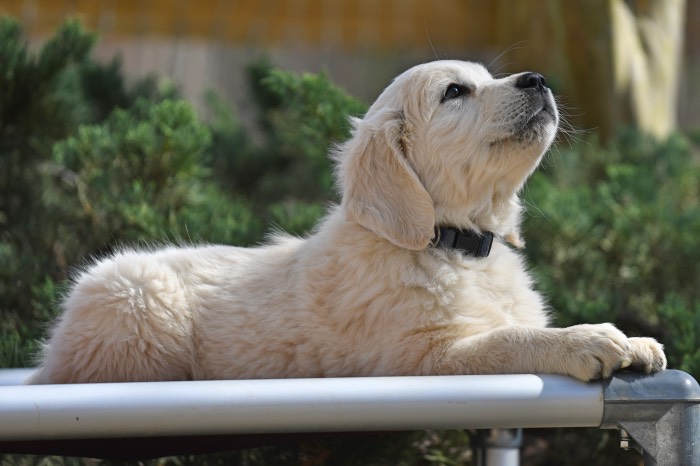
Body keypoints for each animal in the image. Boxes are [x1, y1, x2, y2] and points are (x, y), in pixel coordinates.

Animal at [28, 60, 668, 384]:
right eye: (454, 92)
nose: (538, 80)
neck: (450, 243)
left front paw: (635, 338)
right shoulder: (424, 358)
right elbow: (510, 339)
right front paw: (586, 339)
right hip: (135, 300)